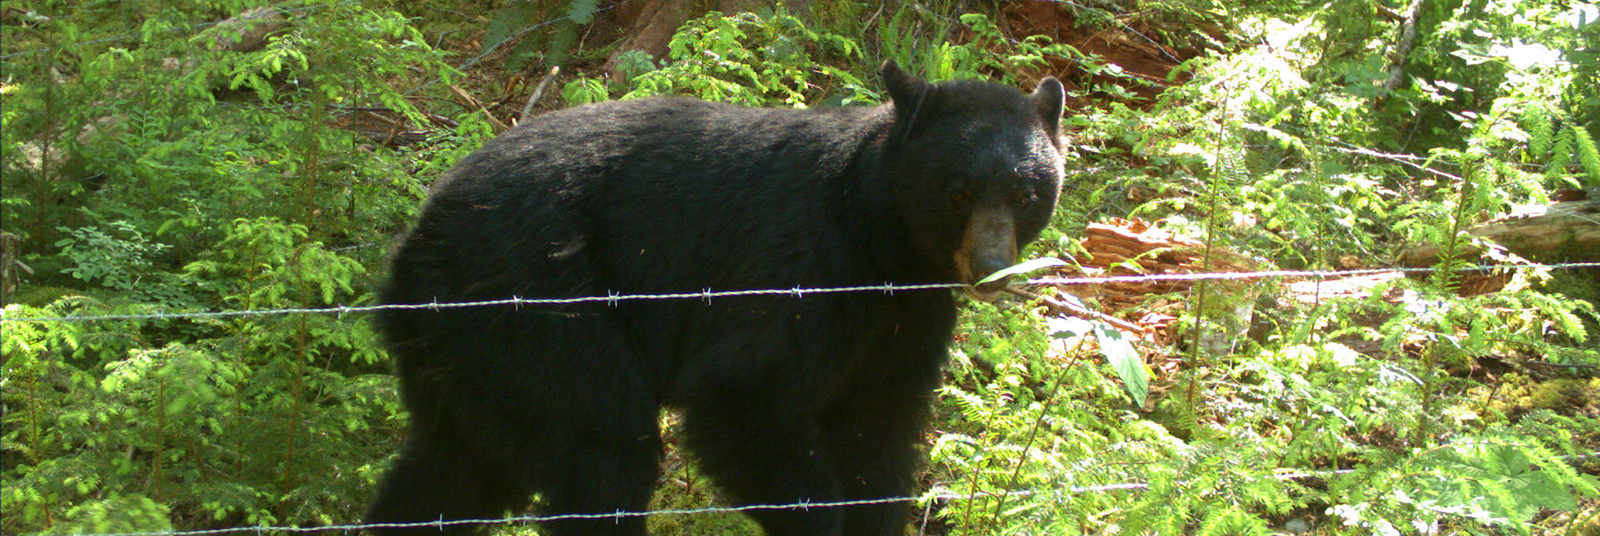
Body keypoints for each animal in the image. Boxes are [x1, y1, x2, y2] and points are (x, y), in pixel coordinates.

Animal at [364, 64, 1062, 536]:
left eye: (1025, 194)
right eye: (959, 192)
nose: (993, 268)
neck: (885, 243)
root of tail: (411, 247)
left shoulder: (906, 316)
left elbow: (877, 430)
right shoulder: (805, 267)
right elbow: (743, 394)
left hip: (466, 353)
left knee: (454, 471)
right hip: (535, 312)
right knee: (602, 448)